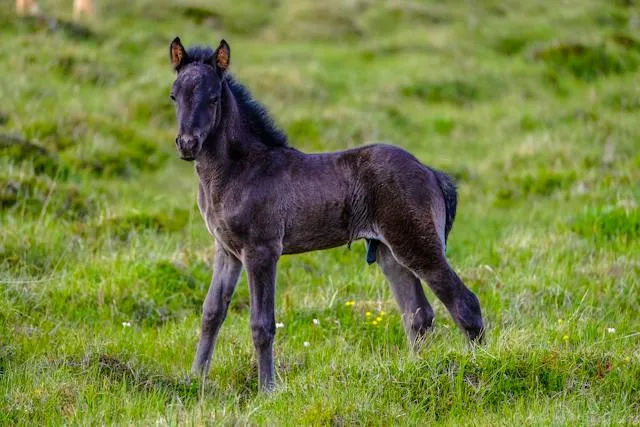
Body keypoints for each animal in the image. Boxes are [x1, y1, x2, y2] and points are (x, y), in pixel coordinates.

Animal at [168, 37, 482, 392]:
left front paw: (267, 390)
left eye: (214, 98)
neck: (239, 169)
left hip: (418, 245)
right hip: (389, 253)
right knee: (418, 316)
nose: (187, 144)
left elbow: (262, 323)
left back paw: (479, 367)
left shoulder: (261, 250)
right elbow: (211, 313)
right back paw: (418, 371)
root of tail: (431, 173)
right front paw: (195, 379)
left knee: (465, 305)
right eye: (174, 95)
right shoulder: (227, 250)